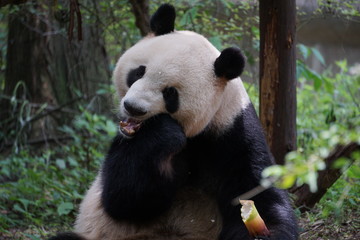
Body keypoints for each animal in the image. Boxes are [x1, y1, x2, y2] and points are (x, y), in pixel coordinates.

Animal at [50, 3, 298, 240]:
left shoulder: (233, 131)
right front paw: (165, 132)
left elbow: (256, 192)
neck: (195, 135)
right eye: (139, 72)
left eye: (170, 93)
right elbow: (125, 198)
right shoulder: (131, 147)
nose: (133, 107)